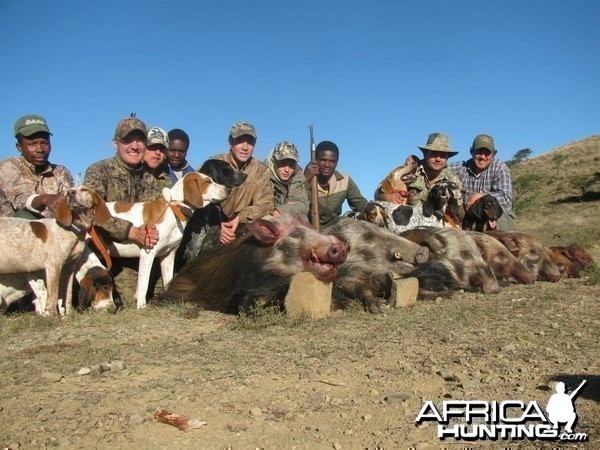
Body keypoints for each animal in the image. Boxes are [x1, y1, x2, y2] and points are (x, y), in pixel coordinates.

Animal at [0, 186, 110, 316]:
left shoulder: (69, 267)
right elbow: (52, 297)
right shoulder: (53, 267)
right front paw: (52, 317)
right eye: (69, 190)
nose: (71, 193)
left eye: (84, 190)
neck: (73, 229)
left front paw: (68, 316)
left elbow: (67, 296)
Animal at [76, 170, 231, 310]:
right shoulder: (147, 255)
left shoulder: (168, 256)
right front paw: (141, 306)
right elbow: (144, 283)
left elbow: (168, 280)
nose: (228, 189)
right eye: (208, 181)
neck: (173, 209)